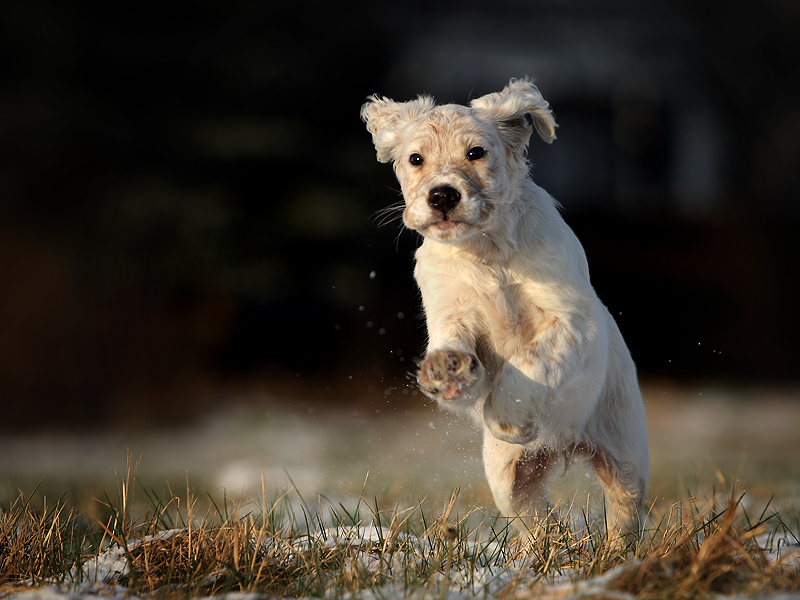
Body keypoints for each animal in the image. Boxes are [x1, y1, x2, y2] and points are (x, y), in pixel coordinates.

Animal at [362, 78, 648, 536]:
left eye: (476, 153)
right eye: (416, 159)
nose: (442, 195)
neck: (487, 251)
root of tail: (565, 443)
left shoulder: (572, 322)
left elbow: (529, 363)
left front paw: (507, 418)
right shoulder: (451, 308)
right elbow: (458, 346)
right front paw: (448, 373)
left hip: (625, 455)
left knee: (625, 511)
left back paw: (615, 549)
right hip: (509, 481)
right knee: (537, 522)